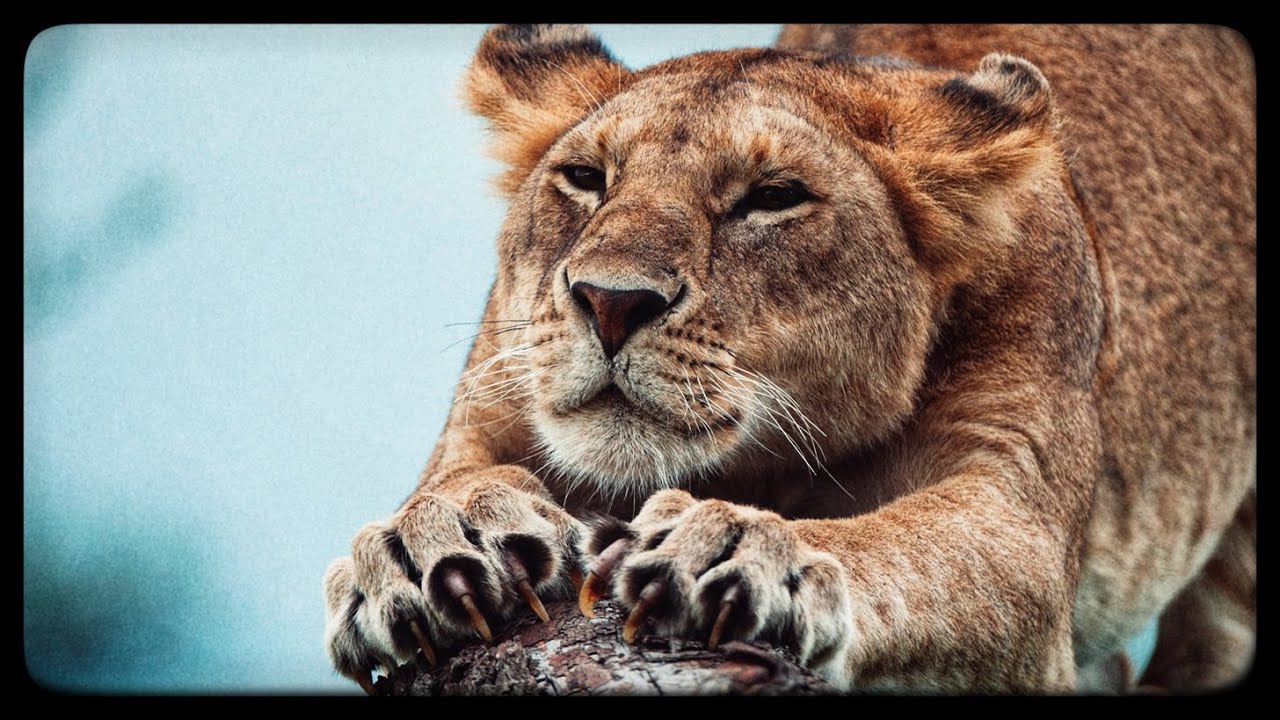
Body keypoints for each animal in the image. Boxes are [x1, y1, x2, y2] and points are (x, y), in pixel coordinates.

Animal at [323, 24, 1255, 693]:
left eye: (772, 198)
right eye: (585, 178)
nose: (610, 301)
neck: (766, 467)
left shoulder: (1011, 502)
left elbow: (909, 542)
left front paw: (735, 552)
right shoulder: (494, 396)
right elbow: (453, 477)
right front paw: (426, 545)